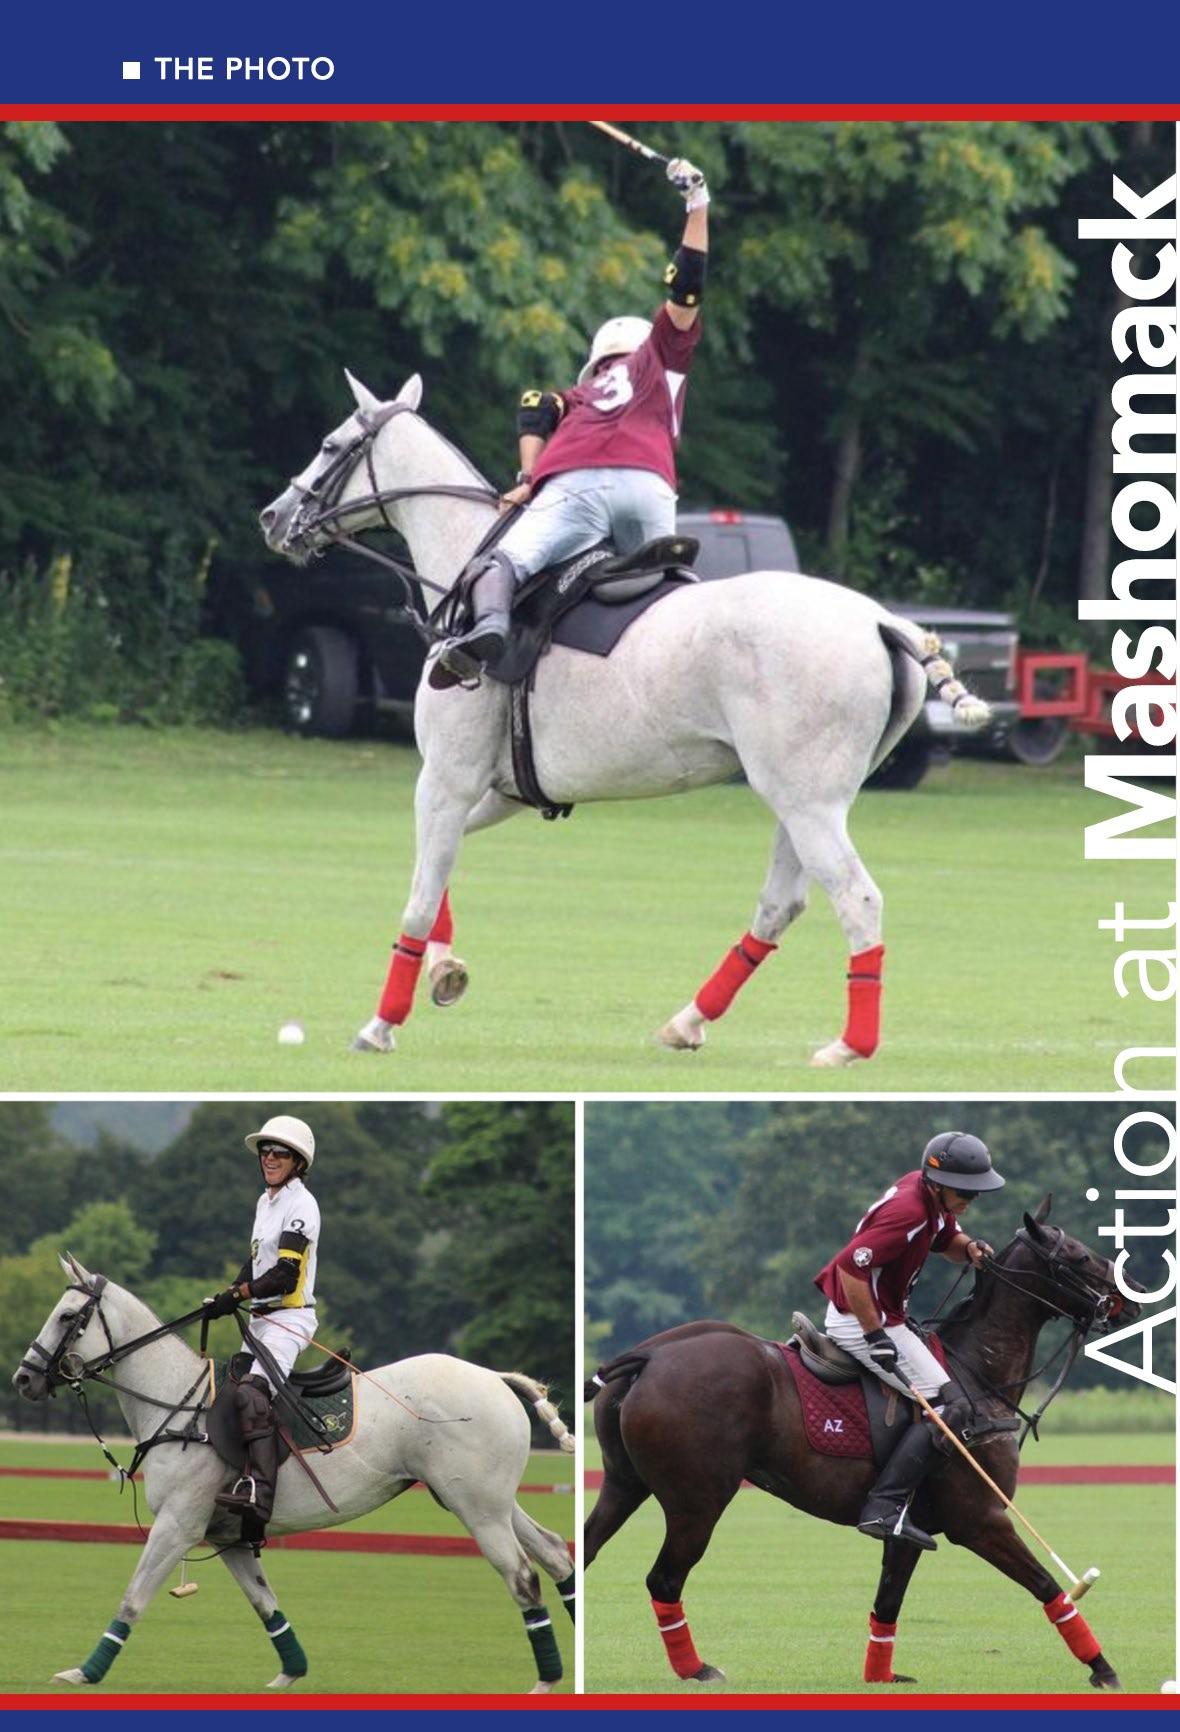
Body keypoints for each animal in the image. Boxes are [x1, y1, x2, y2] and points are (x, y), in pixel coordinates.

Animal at [12, 1255, 575, 1693]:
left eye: (67, 1316)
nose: (23, 1379)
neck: (177, 1402)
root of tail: (495, 1377)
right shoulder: (230, 1535)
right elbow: (266, 1604)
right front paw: (291, 1673)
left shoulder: (178, 1525)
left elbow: (133, 1598)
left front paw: (82, 1673)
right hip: (485, 1499)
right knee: (553, 1552)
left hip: (477, 1508)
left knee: (523, 1577)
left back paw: (545, 1680)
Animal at [258, 372, 989, 1068]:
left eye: (330, 443)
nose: (274, 516)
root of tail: (881, 619)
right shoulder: (500, 789)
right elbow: (433, 871)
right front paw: (445, 972)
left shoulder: (446, 776)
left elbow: (418, 892)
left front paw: (381, 1024)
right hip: (804, 797)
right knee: (783, 903)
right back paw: (687, 1022)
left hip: (808, 801)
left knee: (857, 899)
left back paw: (849, 1045)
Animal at [584, 1199, 1142, 1693]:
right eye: (1078, 1256)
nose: (1132, 1295)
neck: (977, 1376)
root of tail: (649, 1358)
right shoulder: (979, 1519)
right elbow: (1050, 1587)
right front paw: (1103, 1669)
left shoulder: (910, 1529)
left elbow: (888, 1601)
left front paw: (881, 1676)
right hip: (697, 1500)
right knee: (664, 1579)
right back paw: (697, 1669)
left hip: (623, 1483)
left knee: (585, 1549)